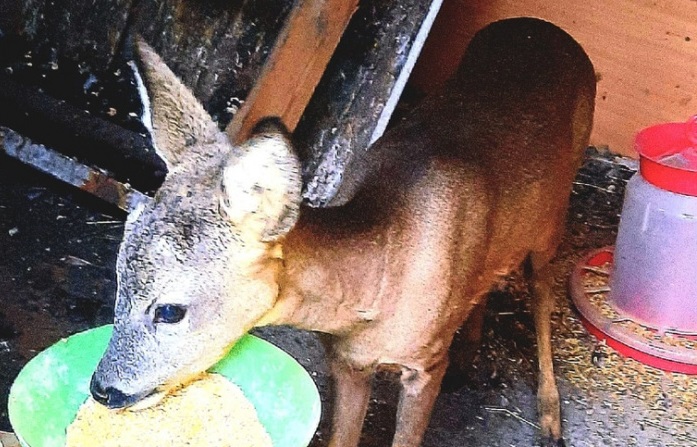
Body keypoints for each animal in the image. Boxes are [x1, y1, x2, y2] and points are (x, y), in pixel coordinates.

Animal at [89, 16, 596, 447]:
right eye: (117, 276)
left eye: (170, 310)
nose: (102, 388)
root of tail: (551, 29)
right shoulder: (347, 362)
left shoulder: (426, 364)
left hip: (553, 219)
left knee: (542, 292)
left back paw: (550, 417)